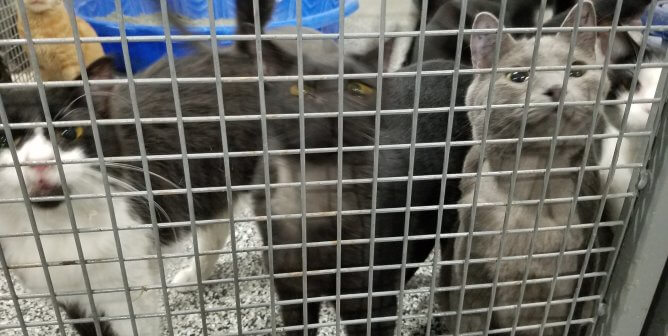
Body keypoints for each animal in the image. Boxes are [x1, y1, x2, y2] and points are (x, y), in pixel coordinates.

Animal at [440, 1, 612, 334]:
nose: (557, 88)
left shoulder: (576, 271)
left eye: (577, 71)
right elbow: (468, 318)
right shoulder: (471, 267)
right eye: (518, 77)